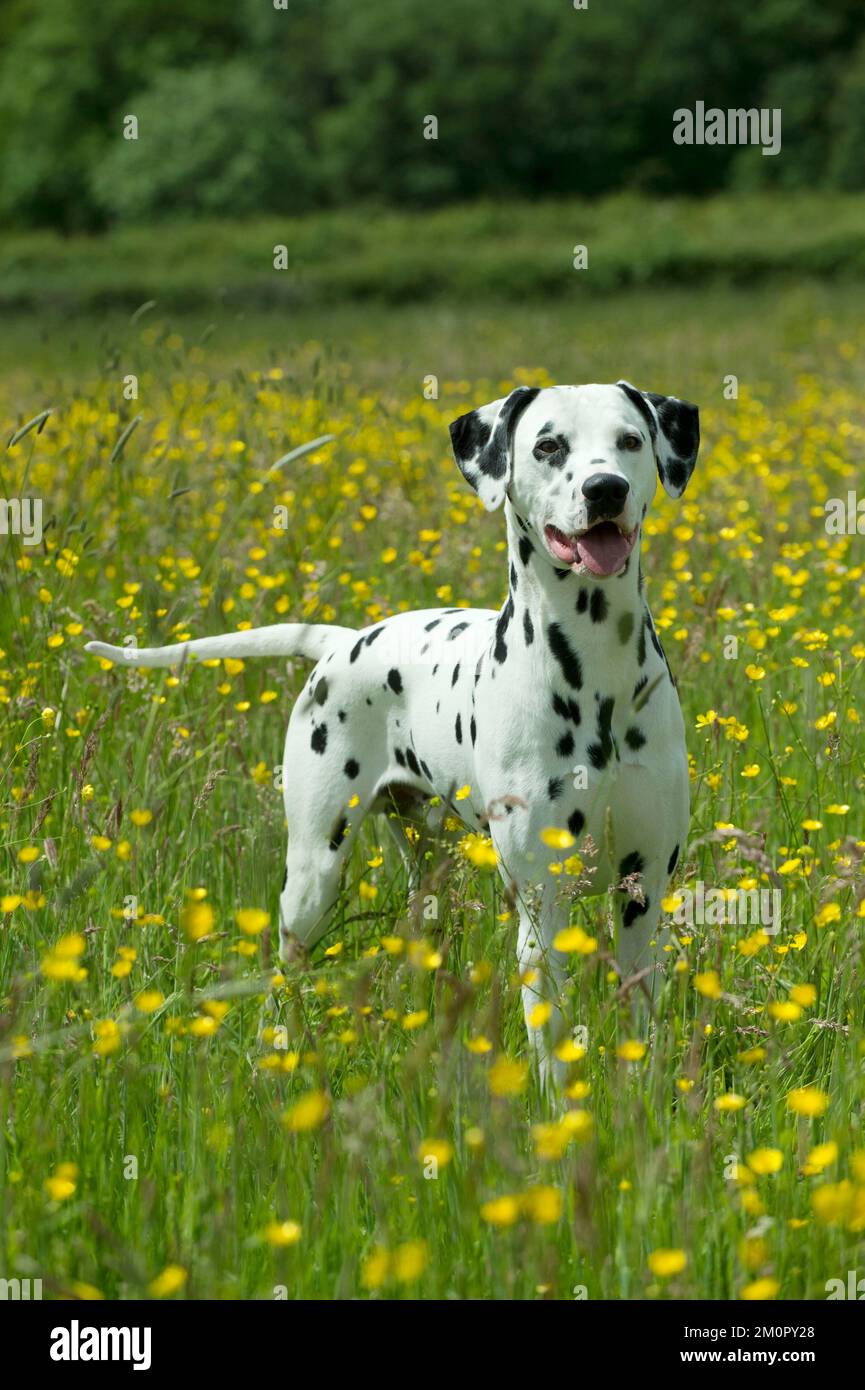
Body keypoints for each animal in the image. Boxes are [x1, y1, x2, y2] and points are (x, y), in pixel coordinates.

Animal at [84, 380, 700, 1084]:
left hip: (428, 867)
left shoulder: (644, 891)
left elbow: (640, 1024)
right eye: (548, 445)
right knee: (284, 970)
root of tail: (343, 640)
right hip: (314, 872)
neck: (597, 669)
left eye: (630, 440)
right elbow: (552, 1042)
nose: (605, 489)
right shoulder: (542, 904)